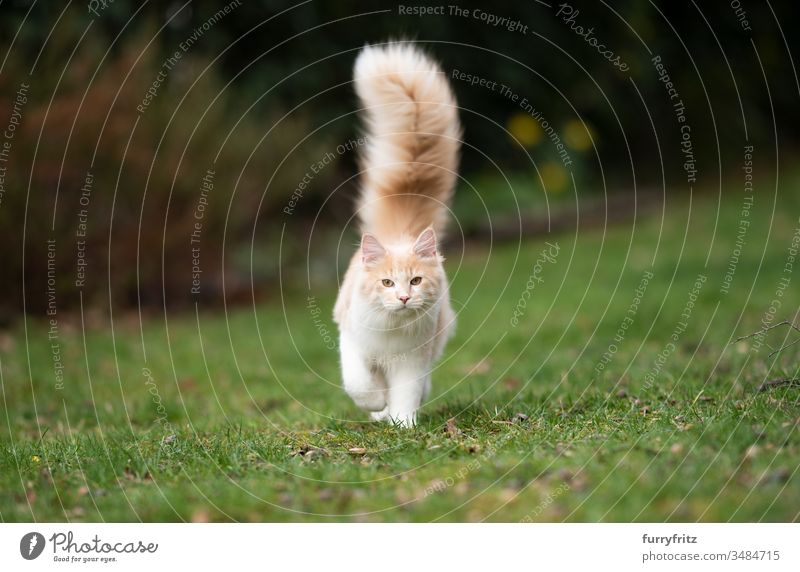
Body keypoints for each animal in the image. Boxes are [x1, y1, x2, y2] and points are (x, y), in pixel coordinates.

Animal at [332, 42, 462, 426]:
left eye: (415, 281)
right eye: (387, 283)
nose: (404, 298)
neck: (392, 330)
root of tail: (400, 232)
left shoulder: (411, 362)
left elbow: (405, 394)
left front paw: (403, 425)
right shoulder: (352, 343)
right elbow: (361, 385)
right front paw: (377, 407)